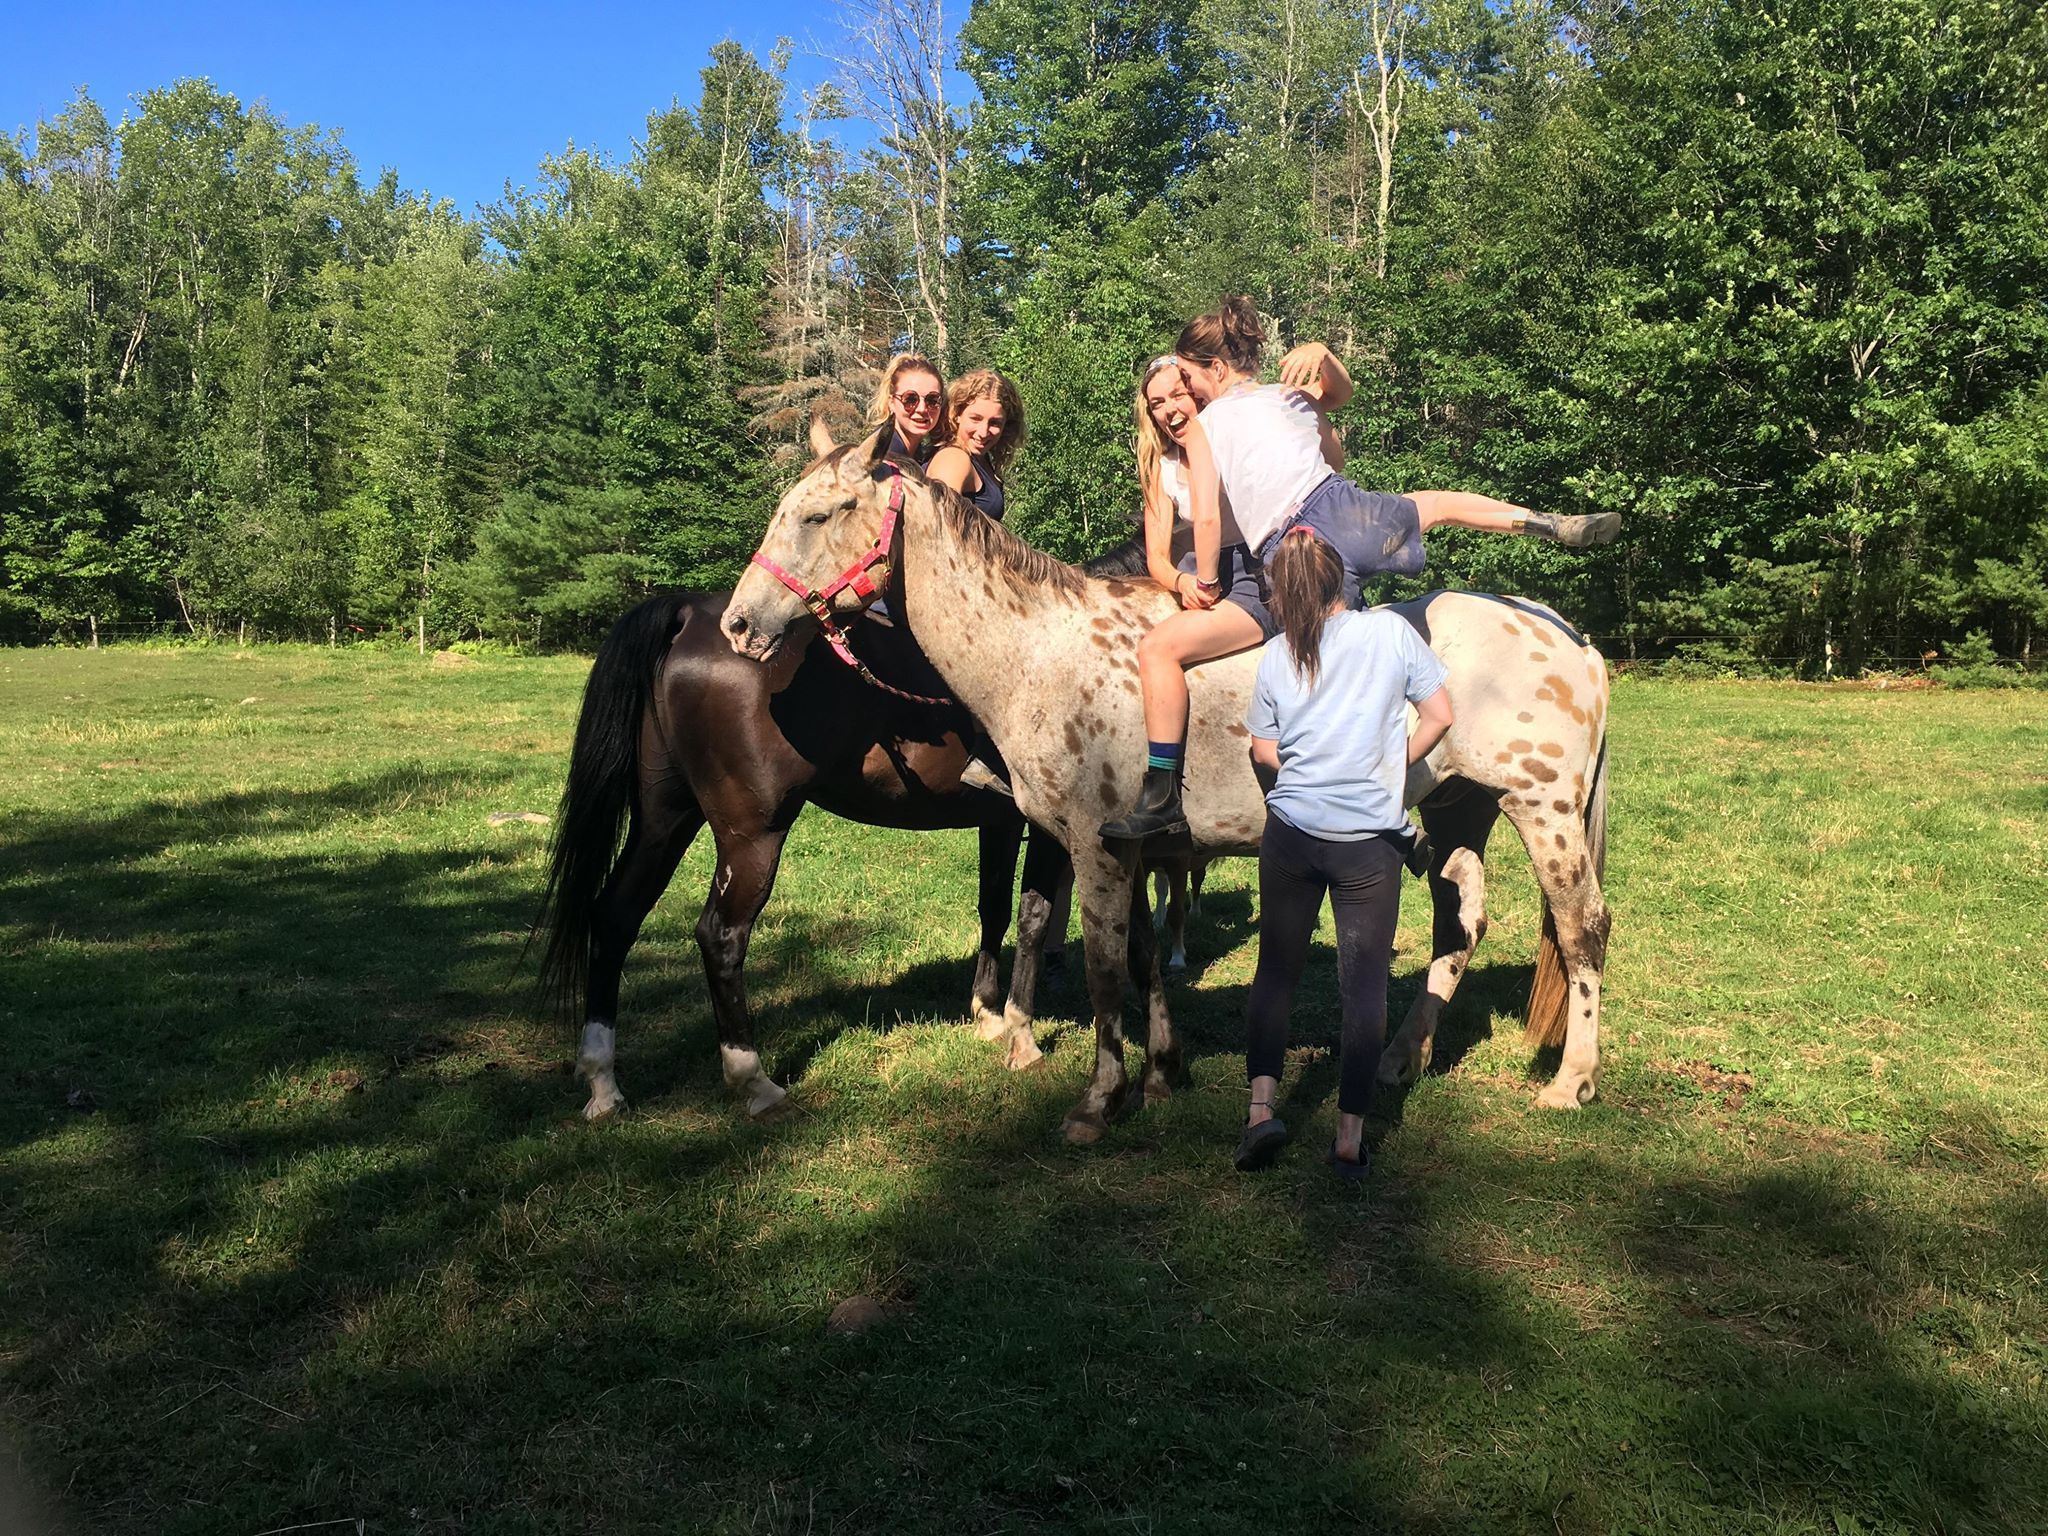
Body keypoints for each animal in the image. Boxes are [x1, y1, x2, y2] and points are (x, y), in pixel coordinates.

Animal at [534, 589, 1073, 1120]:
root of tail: (690, 612)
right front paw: (1022, 1036)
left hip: (664, 820)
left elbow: (994, 909)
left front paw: (988, 1014)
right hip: (752, 837)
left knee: (615, 916)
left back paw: (603, 1082)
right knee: (720, 936)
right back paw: (754, 1081)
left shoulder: (1000, 821)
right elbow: (1034, 918)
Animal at [723, 425, 1613, 1144]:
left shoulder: (1091, 847)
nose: (739, 623)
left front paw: (1098, 1100)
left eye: (819, 514)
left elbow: (1104, 969)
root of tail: (1568, 635)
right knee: (1460, 927)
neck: (1037, 651)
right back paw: (1401, 1057)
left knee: (1583, 931)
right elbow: (1145, 957)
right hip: (1462, 810)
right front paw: (1157, 1075)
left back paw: (1571, 1082)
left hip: (1544, 809)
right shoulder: (1135, 852)